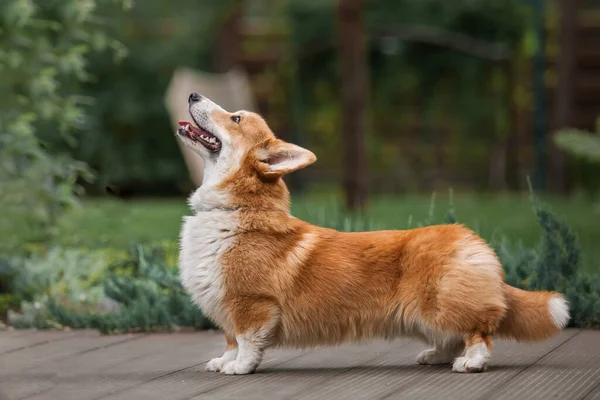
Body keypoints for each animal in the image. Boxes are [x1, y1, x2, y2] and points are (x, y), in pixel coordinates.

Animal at [176, 93, 568, 376]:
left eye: (235, 118)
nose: (193, 94)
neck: (235, 210)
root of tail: (473, 240)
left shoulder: (250, 305)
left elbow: (246, 342)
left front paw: (240, 368)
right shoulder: (226, 308)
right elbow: (230, 341)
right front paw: (224, 362)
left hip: (441, 306)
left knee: (479, 333)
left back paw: (472, 362)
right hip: (425, 315)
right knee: (451, 339)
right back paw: (434, 355)